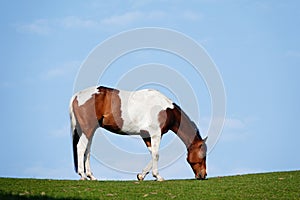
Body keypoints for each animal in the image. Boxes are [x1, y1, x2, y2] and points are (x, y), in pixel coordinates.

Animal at [70, 86, 206, 181]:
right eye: (203, 155)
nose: (203, 175)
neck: (165, 109)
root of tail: (76, 96)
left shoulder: (146, 135)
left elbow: (152, 154)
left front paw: (141, 175)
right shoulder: (155, 134)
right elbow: (156, 155)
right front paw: (158, 176)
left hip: (90, 130)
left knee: (87, 150)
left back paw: (91, 176)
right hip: (87, 129)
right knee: (81, 148)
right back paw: (83, 175)